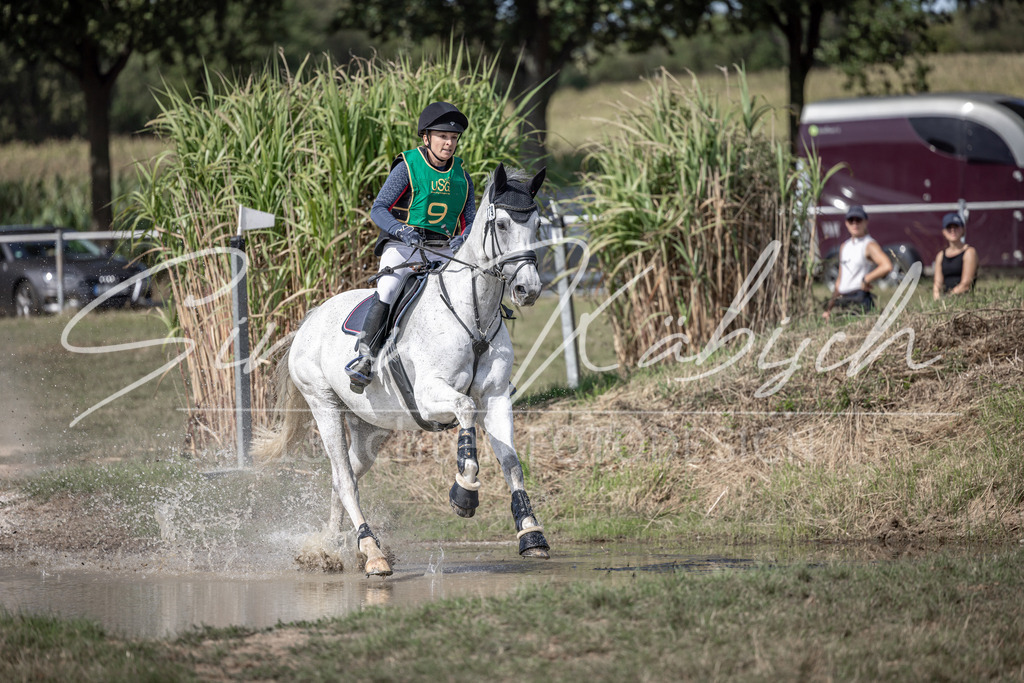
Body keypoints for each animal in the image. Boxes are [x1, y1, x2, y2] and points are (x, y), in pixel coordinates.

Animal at [254, 163, 550, 576]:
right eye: (504, 224)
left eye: (537, 224)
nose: (528, 289)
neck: (474, 311)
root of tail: (309, 319)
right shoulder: (430, 395)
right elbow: (465, 410)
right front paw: (464, 494)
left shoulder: (495, 397)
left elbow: (511, 460)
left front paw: (531, 532)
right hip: (323, 404)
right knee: (344, 479)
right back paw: (371, 552)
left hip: (372, 426)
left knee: (344, 477)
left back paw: (330, 547)